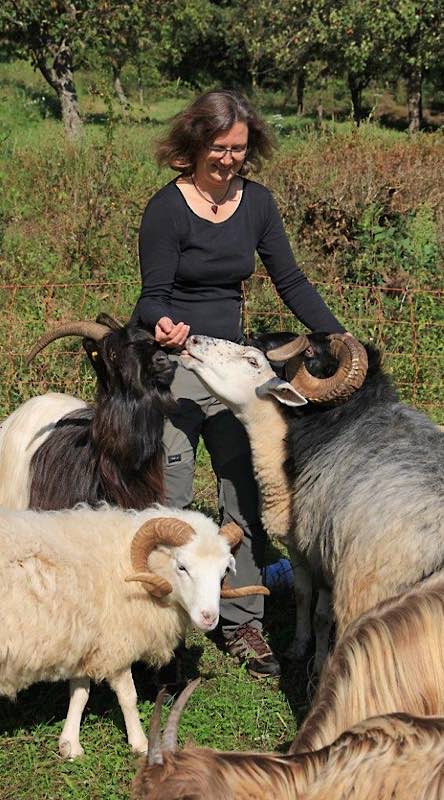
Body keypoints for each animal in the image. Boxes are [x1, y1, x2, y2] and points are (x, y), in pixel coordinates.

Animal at [0, 504, 268, 760]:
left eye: (224, 572)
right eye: (182, 567)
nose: (209, 617)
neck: (129, 567)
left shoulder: (87, 641)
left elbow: (80, 693)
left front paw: (70, 745)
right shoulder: (117, 644)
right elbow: (129, 697)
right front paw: (141, 743)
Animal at [181, 328, 444, 672]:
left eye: (252, 361)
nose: (193, 339)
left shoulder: (321, 554)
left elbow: (321, 614)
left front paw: (318, 663)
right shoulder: (298, 548)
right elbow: (302, 596)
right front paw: (298, 647)